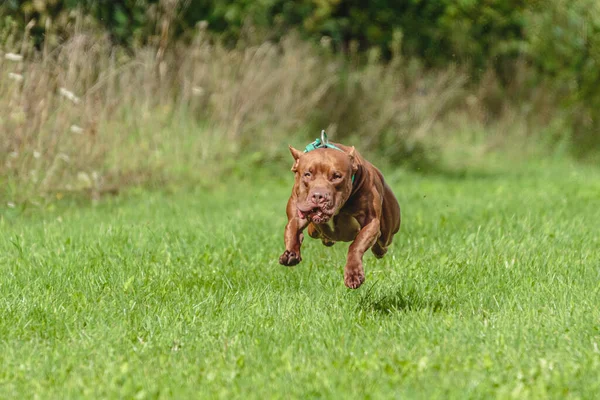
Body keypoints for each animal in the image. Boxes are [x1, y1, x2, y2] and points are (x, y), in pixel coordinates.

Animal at [278, 140, 400, 288]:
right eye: (307, 174)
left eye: (337, 176)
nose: (318, 196)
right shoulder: (297, 211)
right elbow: (292, 229)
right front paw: (291, 253)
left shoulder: (371, 222)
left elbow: (356, 244)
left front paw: (353, 274)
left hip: (387, 230)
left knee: (381, 243)